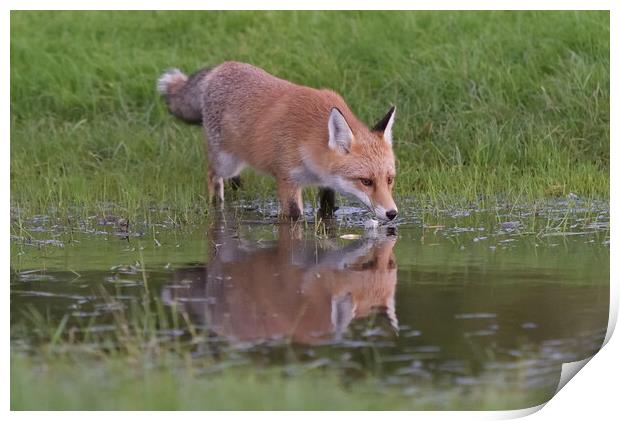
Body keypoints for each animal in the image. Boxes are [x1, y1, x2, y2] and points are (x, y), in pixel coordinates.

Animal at [157, 62, 400, 221]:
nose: (392, 214)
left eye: (389, 180)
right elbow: (294, 217)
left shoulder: (327, 185)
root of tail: (219, 68)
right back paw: (218, 204)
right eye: (366, 181)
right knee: (213, 177)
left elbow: (327, 212)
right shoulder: (287, 179)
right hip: (225, 162)